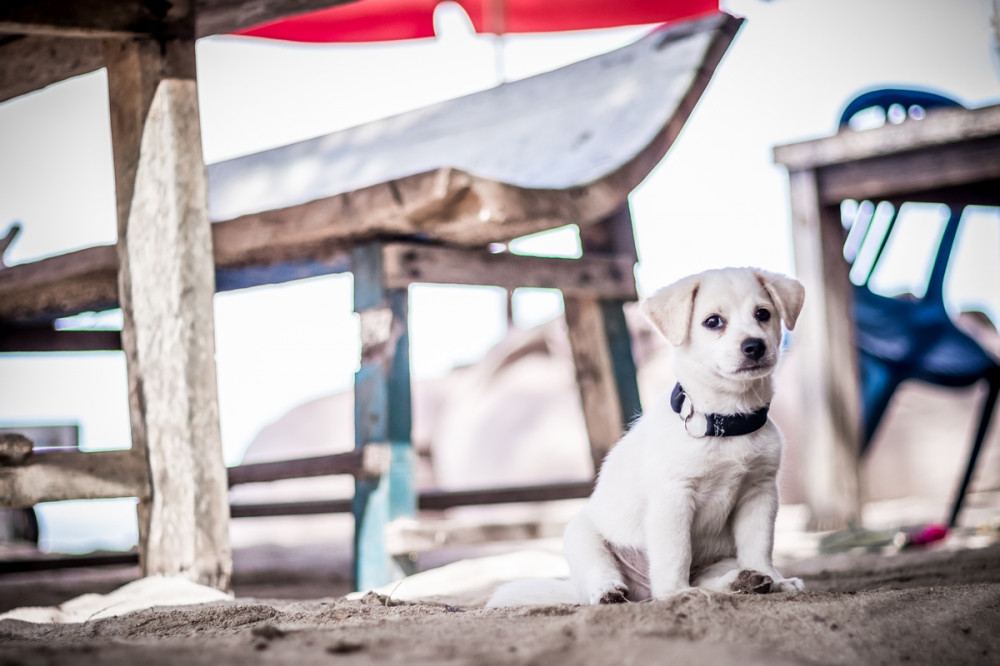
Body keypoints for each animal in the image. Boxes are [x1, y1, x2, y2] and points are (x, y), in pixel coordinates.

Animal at [488, 268, 808, 604]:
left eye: (763, 314)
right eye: (713, 321)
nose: (754, 346)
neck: (727, 420)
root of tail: (641, 591)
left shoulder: (760, 493)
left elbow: (759, 547)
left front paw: (775, 579)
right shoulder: (674, 497)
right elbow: (676, 553)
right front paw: (676, 592)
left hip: (721, 558)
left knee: (709, 577)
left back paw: (745, 581)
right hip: (582, 536)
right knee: (604, 575)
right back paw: (610, 591)